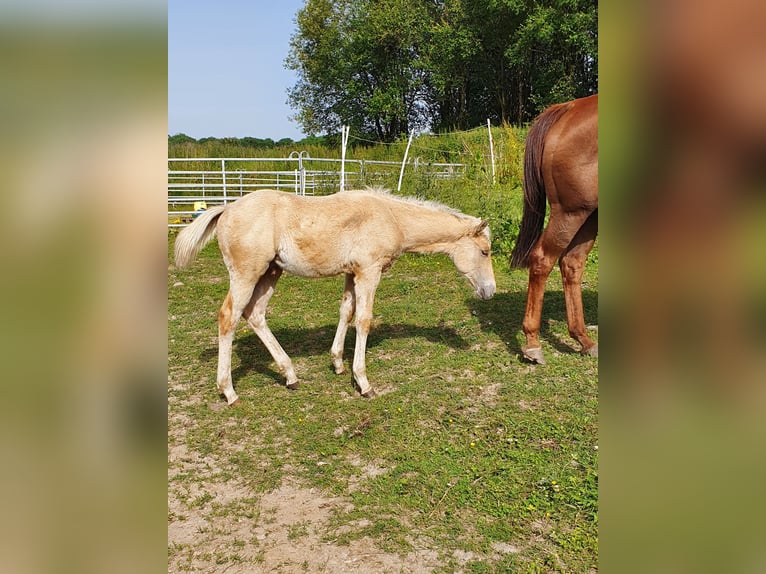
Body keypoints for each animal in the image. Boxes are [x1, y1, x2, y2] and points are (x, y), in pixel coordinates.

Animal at [175, 189, 498, 404]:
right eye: (484, 252)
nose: (490, 291)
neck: (391, 217)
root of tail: (227, 209)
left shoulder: (351, 273)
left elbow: (346, 312)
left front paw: (338, 364)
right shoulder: (369, 272)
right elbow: (364, 320)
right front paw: (363, 383)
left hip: (270, 273)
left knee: (254, 314)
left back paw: (290, 376)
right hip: (247, 273)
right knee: (228, 317)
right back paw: (229, 391)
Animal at [512, 94, 604, 364]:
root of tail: (568, 108)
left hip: (589, 215)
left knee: (571, 263)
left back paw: (584, 339)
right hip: (570, 213)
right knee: (542, 259)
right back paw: (533, 344)